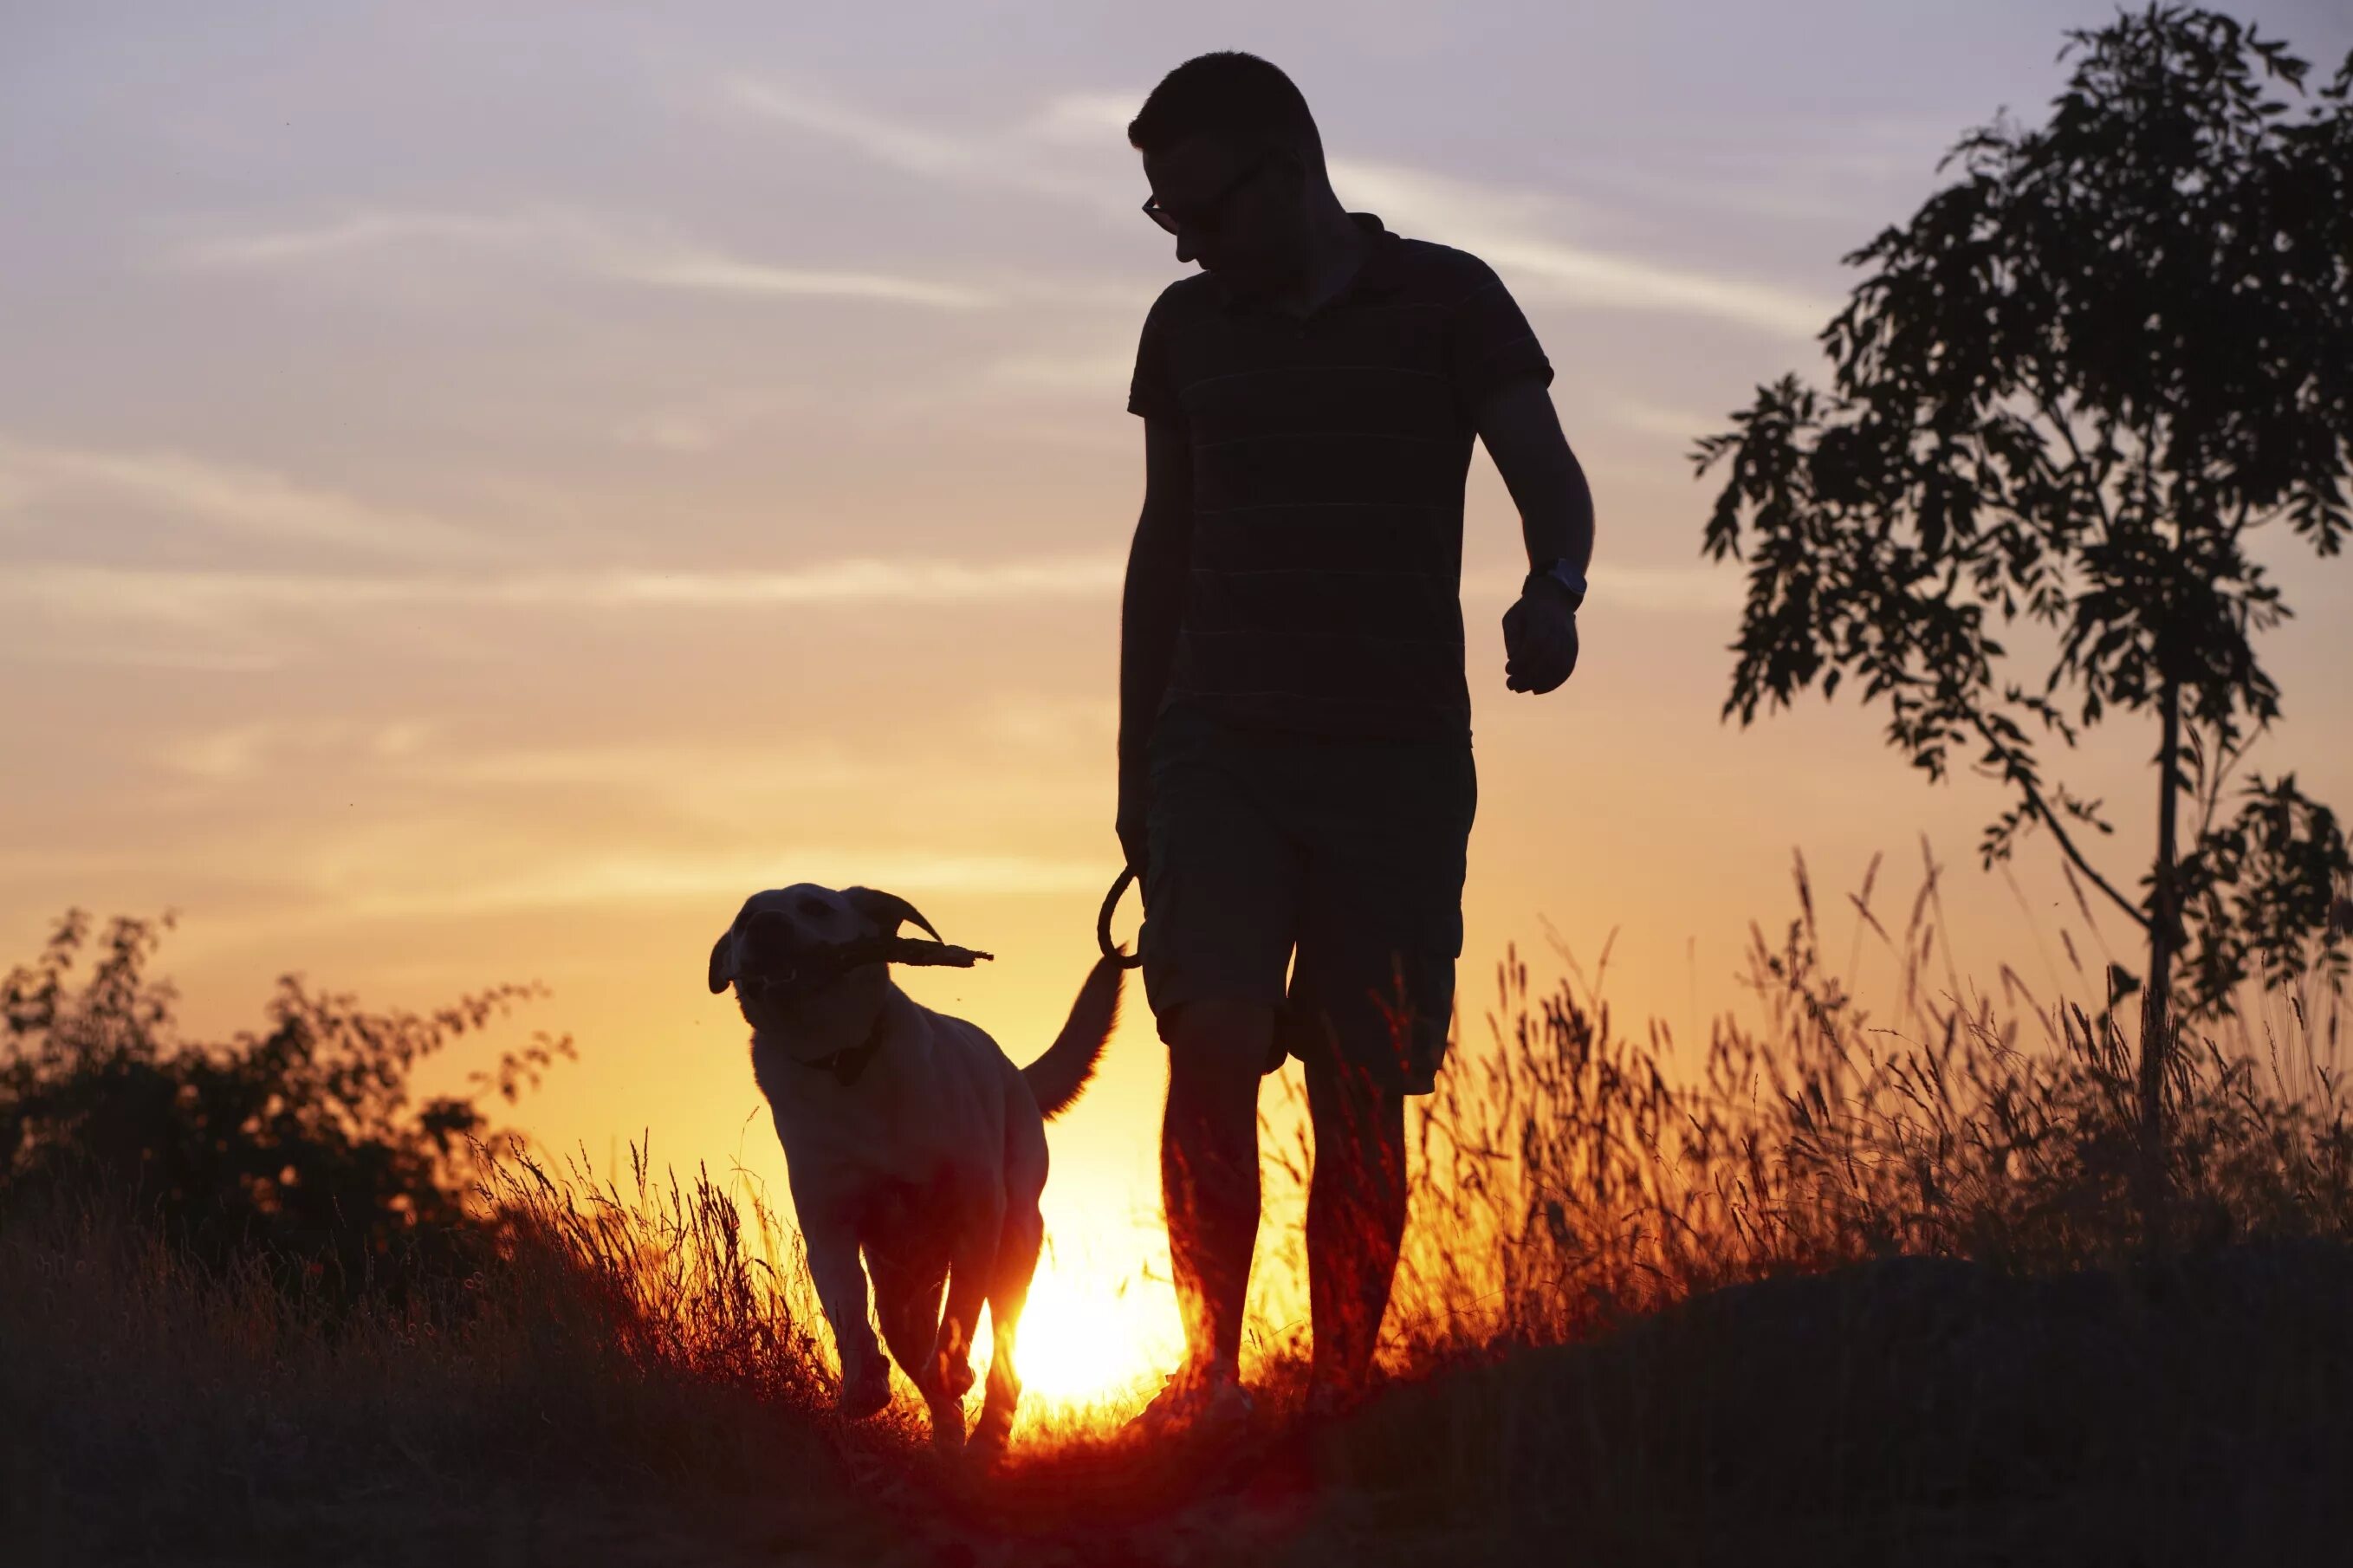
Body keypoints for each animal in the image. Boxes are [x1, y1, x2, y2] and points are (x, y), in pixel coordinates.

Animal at [705, 884, 1119, 1450]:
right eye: (744, 920)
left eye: (815, 906)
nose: (767, 924)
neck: (846, 1062)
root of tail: (1015, 1073)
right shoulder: (829, 1224)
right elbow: (845, 1302)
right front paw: (863, 1383)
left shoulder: (976, 1214)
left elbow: (963, 1308)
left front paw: (950, 1363)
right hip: (902, 1292)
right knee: (927, 1372)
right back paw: (951, 1448)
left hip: (1016, 1239)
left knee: (1003, 1350)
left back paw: (985, 1436)